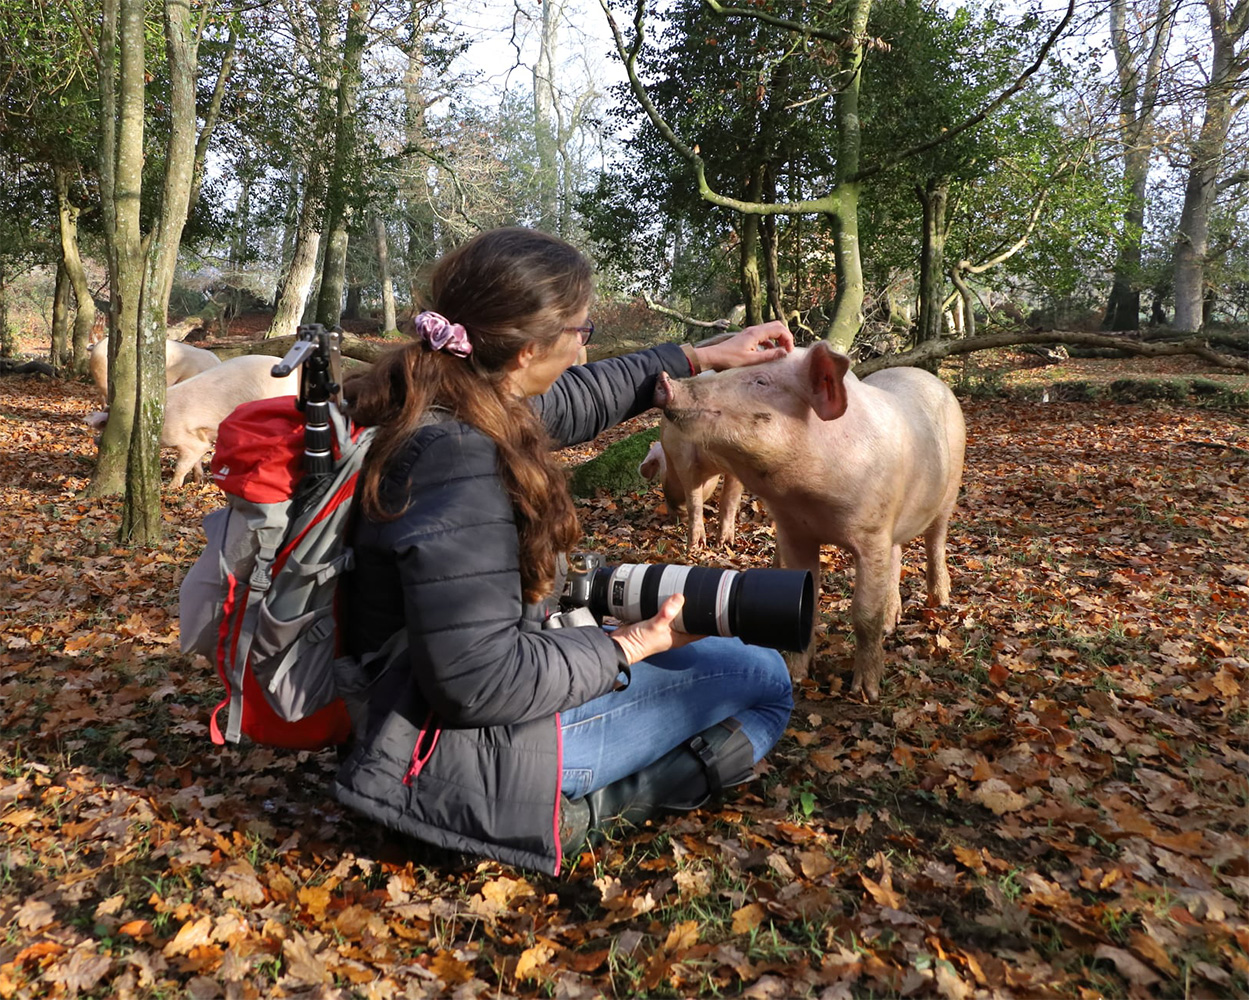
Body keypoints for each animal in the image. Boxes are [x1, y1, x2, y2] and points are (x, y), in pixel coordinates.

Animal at [655, 342, 966, 702]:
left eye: (761, 381)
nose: (667, 381)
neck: (810, 502)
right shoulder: (795, 531)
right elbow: (806, 600)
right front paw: (796, 677)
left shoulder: (872, 532)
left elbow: (865, 614)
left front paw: (865, 694)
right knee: (897, 555)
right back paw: (893, 623)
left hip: (950, 486)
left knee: (935, 541)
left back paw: (941, 602)